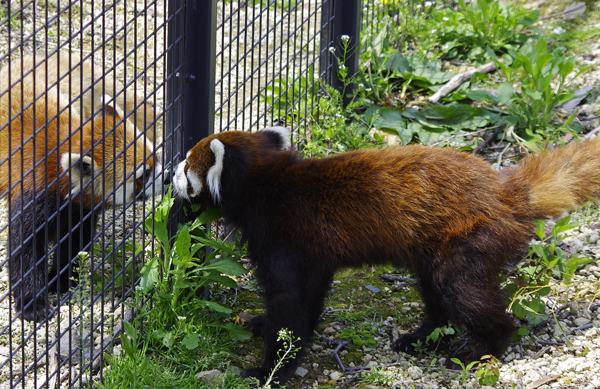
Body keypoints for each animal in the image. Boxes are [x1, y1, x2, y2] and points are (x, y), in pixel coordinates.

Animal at [0, 53, 169, 322]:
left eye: (155, 156)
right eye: (143, 174)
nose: (168, 176)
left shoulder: (81, 209)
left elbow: (75, 242)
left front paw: (59, 281)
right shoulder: (32, 193)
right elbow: (24, 250)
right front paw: (32, 304)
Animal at [171, 126, 600, 382]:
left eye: (184, 166)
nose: (166, 174)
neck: (264, 184)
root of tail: (507, 191)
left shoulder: (283, 237)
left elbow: (288, 304)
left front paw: (271, 368)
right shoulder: (312, 254)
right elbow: (309, 298)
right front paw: (276, 329)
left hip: (471, 239)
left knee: (467, 294)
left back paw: (482, 350)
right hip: (437, 248)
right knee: (436, 293)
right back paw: (421, 337)